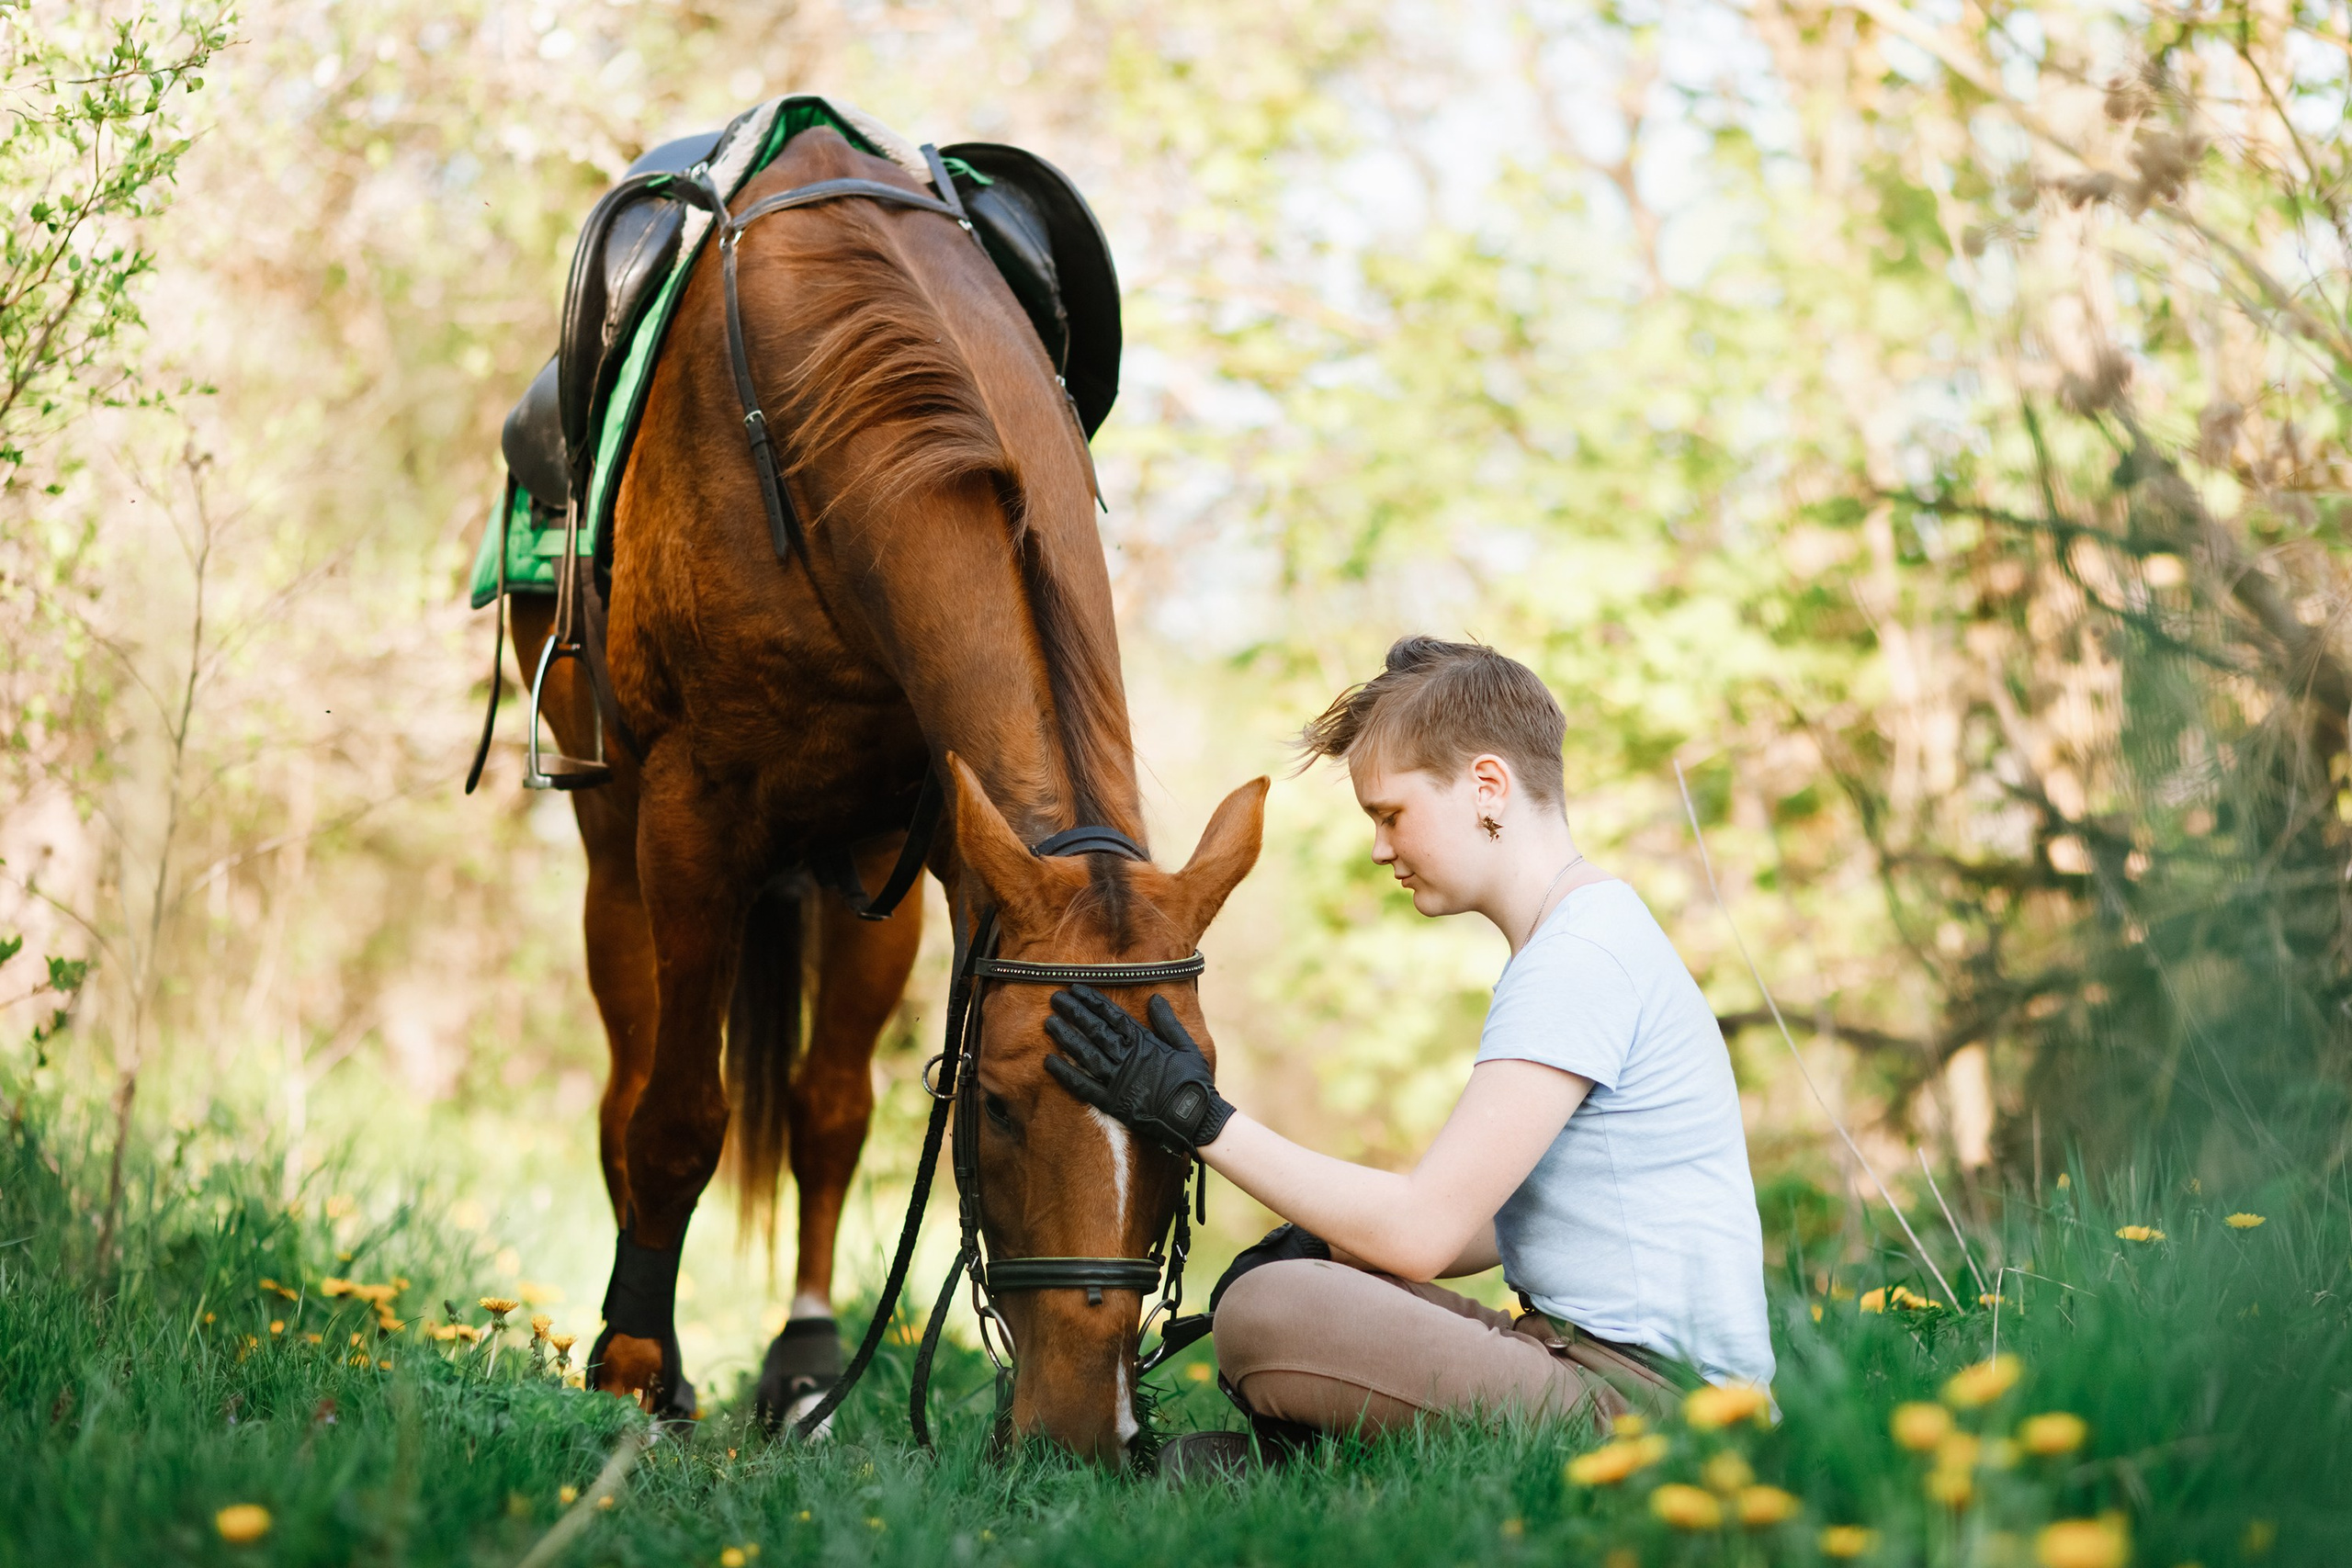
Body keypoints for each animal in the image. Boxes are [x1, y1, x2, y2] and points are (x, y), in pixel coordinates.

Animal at [505, 124, 1265, 1461]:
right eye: (1001, 1108)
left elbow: (831, 1115)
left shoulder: (930, 845)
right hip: (613, 835)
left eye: (1190, 1120)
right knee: (627, 1082)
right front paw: (635, 1372)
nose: (1086, 1427)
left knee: (825, 1106)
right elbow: (676, 1117)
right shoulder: (692, 821)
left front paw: (796, 1368)